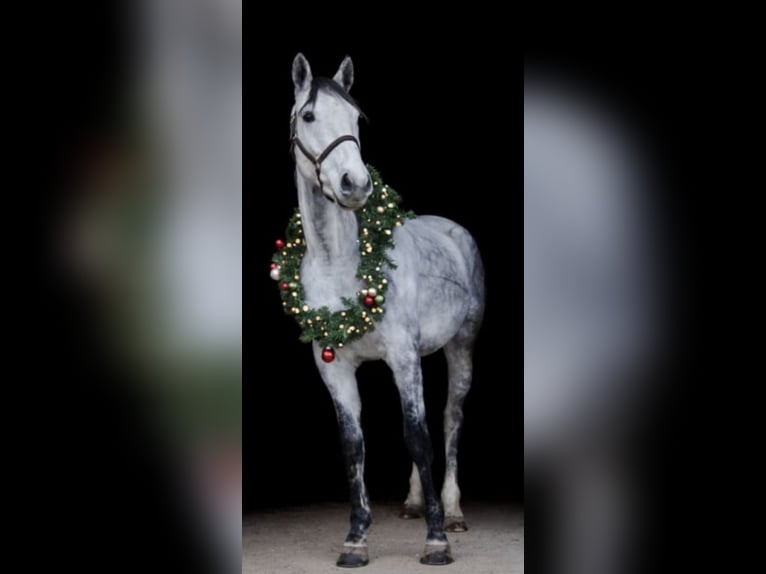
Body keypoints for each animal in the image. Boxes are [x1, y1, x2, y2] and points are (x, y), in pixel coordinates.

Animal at [285, 53, 485, 567]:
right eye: (309, 115)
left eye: (357, 118)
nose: (355, 185)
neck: (340, 266)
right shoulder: (334, 367)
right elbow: (354, 445)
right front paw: (356, 538)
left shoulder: (401, 355)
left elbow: (419, 437)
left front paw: (437, 540)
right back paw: (413, 502)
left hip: (460, 347)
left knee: (449, 420)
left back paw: (452, 510)